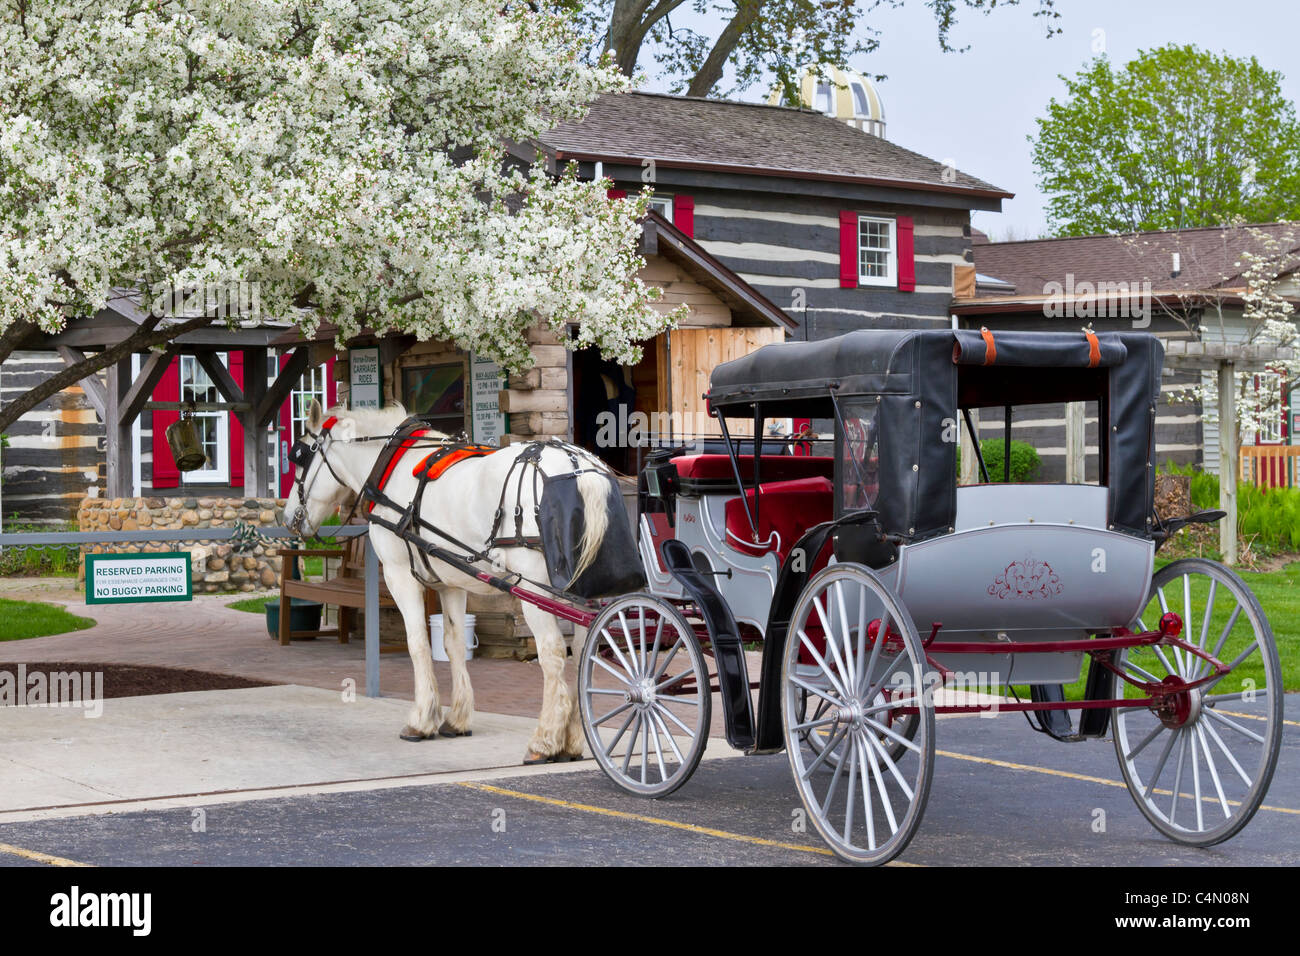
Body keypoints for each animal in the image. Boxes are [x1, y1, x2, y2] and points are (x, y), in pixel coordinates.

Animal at [292, 400, 616, 764]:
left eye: (298, 455)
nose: (289, 517)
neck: (393, 465)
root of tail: (579, 467)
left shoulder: (398, 574)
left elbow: (417, 643)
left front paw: (421, 719)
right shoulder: (451, 583)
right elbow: (453, 643)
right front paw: (457, 718)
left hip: (534, 590)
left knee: (553, 652)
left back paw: (545, 741)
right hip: (582, 590)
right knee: (583, 650)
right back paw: (573, 739)